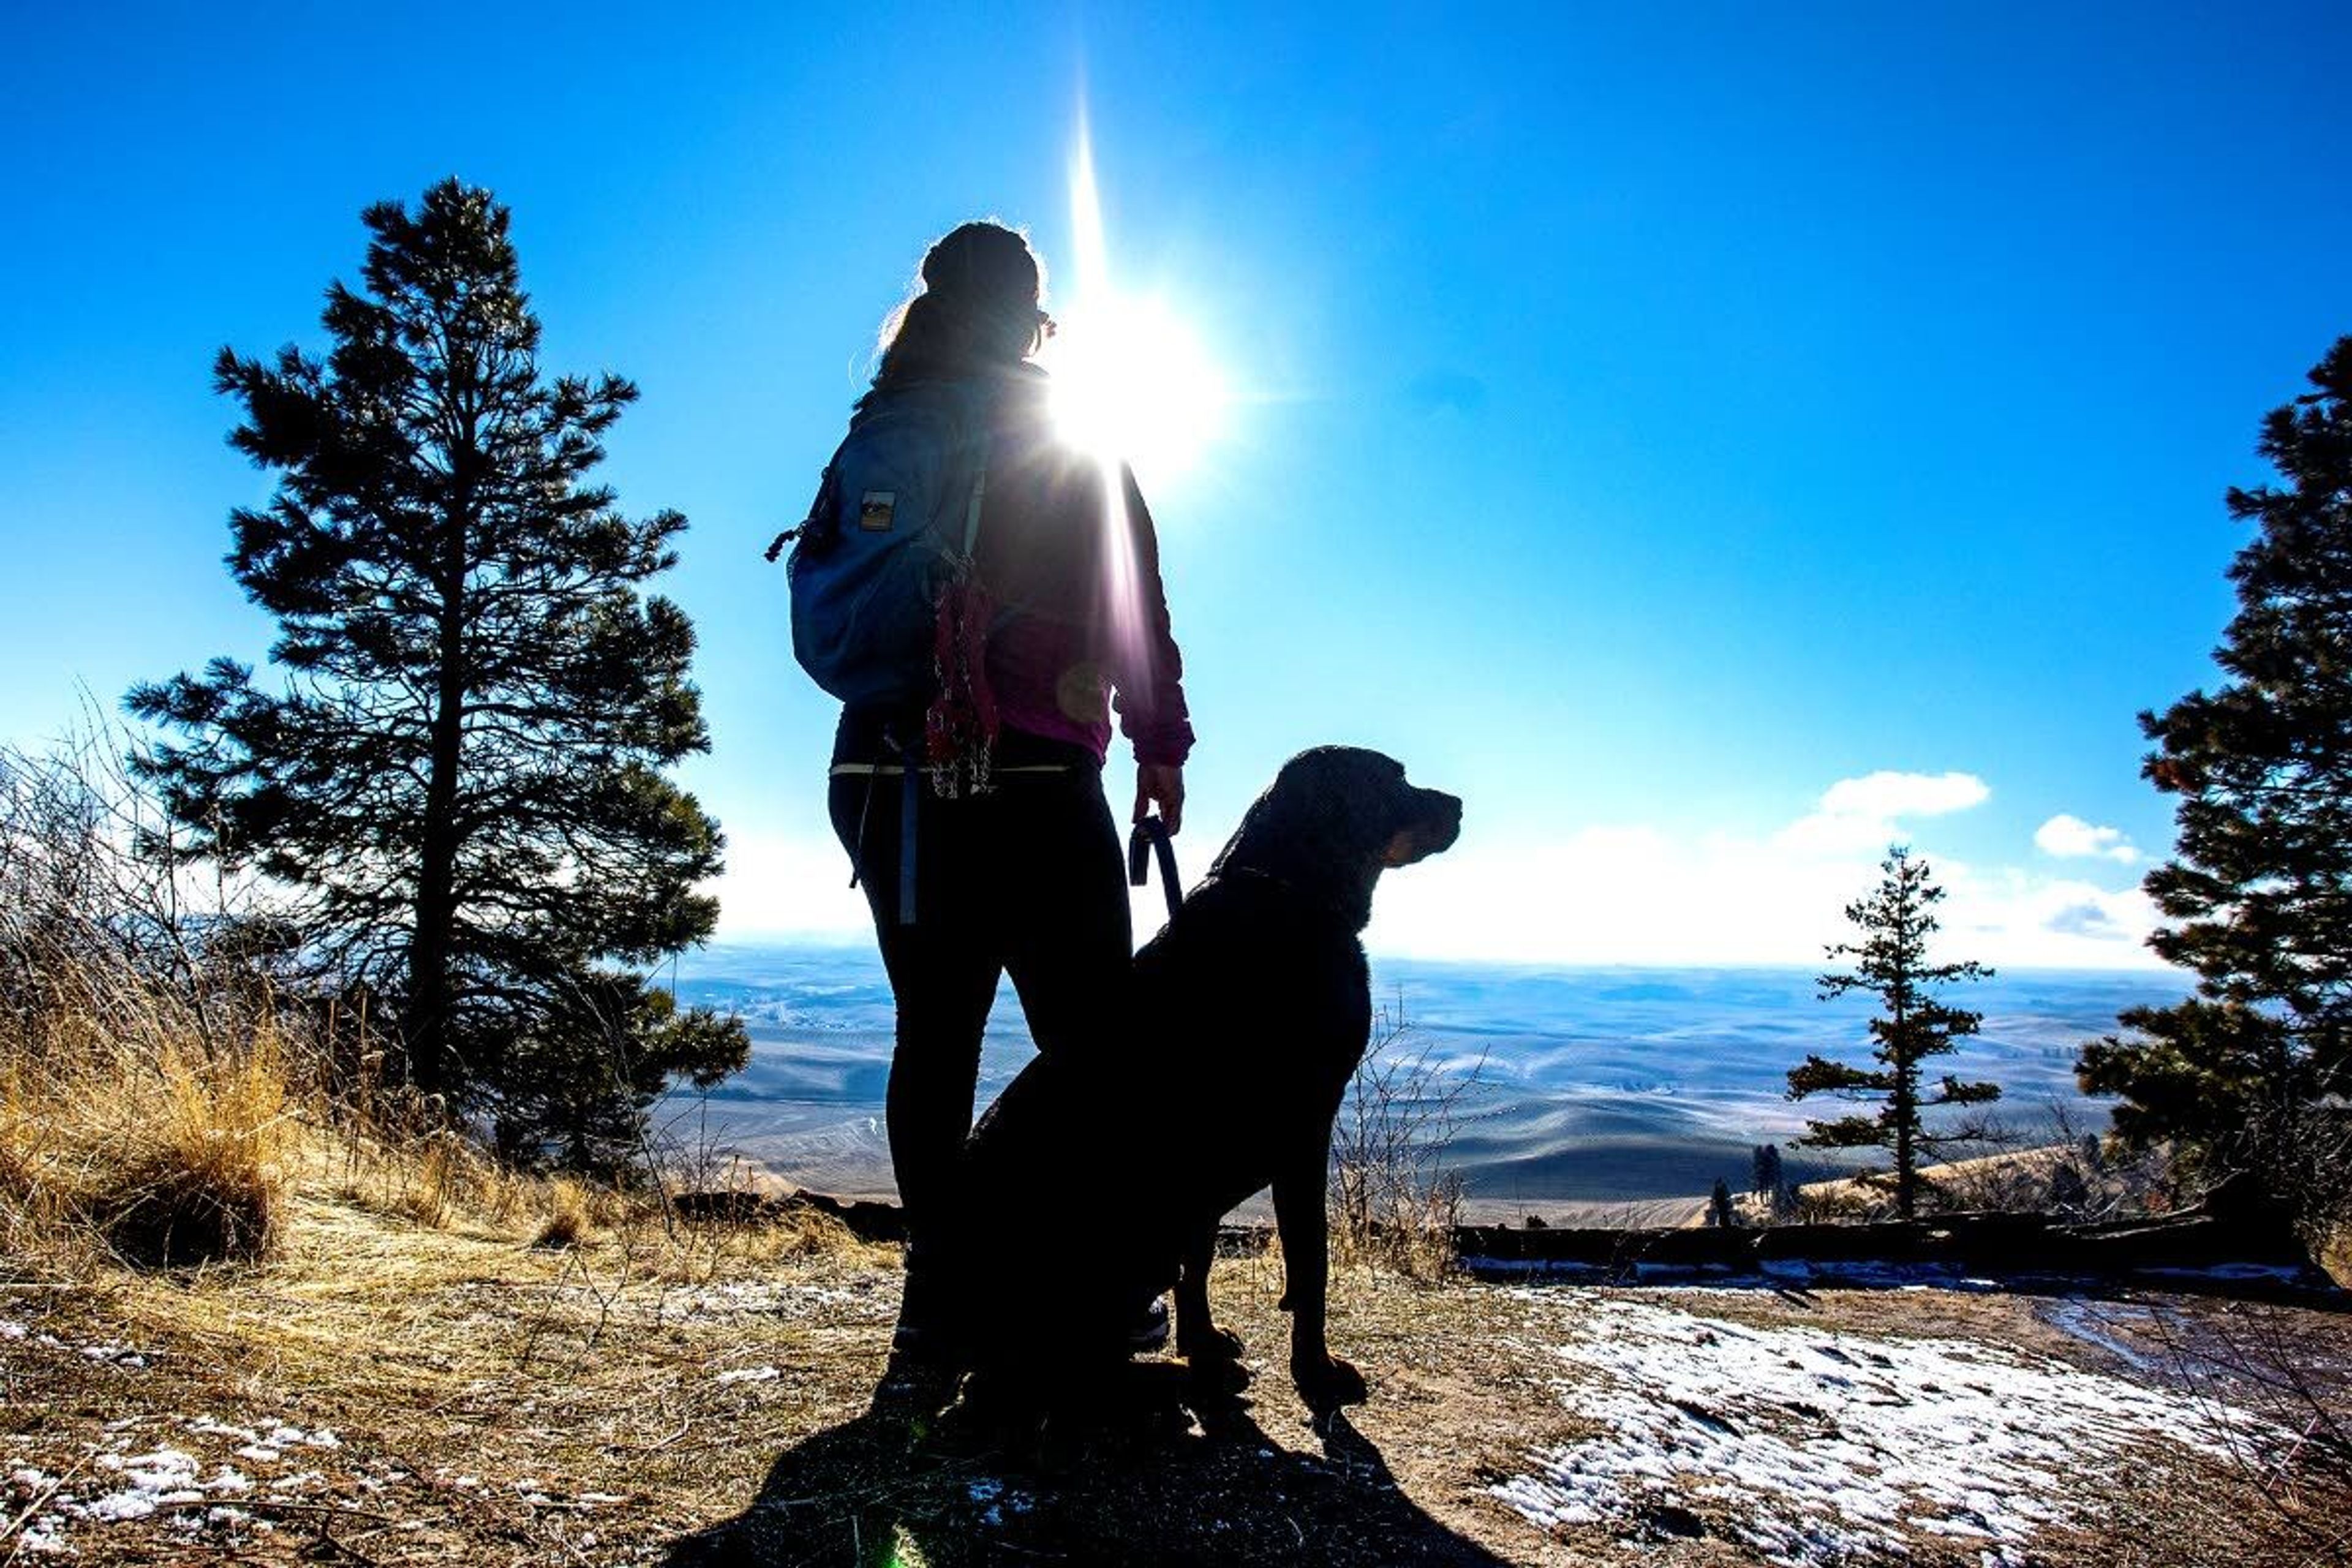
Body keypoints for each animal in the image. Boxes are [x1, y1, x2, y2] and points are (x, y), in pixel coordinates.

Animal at [941, 742, 1458, 1420]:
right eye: (1397, 780)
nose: (1458, 804)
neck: (1290, 889)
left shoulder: (1204, 1180)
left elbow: (1201, 1261)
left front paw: (1206, 1342)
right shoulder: (1304, 1128)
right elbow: (1309, 1261)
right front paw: (1315, 1371)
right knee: (1047, 1364)